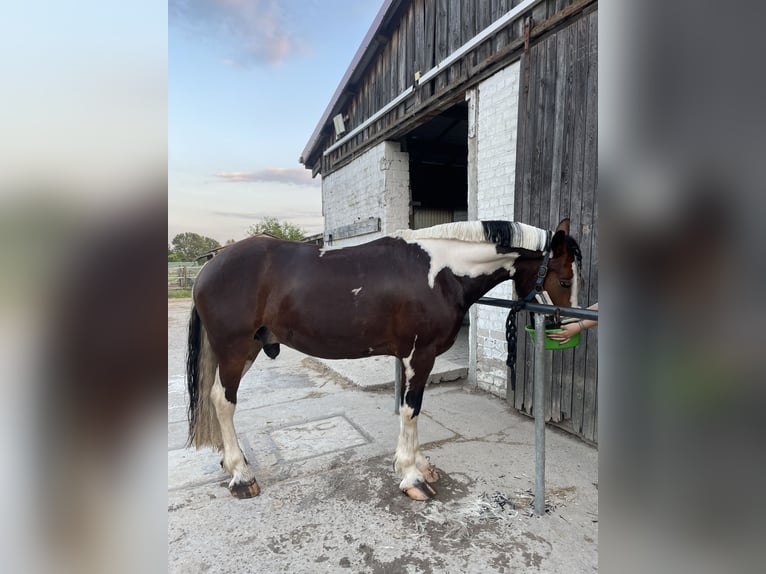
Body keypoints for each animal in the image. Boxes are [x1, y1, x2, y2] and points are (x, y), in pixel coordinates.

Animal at [186, 218, 584, 502]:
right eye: (565, 280)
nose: (561, 326)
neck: (440, 271)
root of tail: (209, 267)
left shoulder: (413, 357)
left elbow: (413, 411)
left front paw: (419, 466)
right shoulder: (419, 355)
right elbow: (411, 410)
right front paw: (411, 476)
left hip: (249, 348)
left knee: (218, 399)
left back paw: (233, 462)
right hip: (235, 348)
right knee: (223, 401)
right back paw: (241, 477)